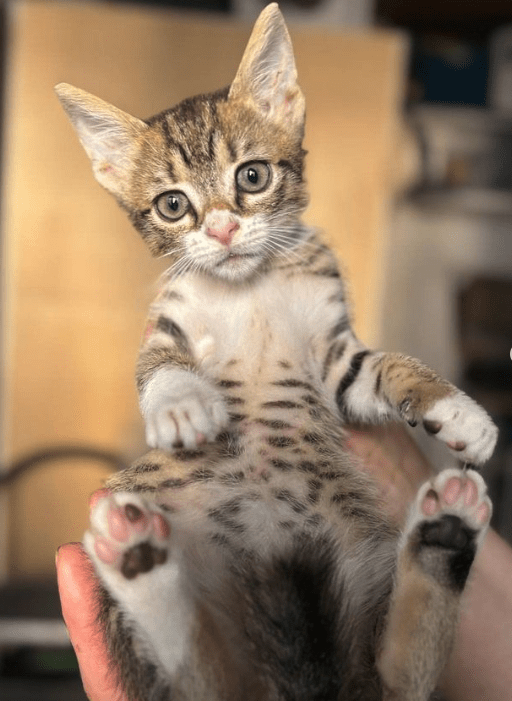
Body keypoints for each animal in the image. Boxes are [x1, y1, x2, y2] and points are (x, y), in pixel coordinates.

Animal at [56, 5, 496, 700]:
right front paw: (182, 405)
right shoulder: (168, 327)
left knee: (398, 678)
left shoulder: (338, 358)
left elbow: (390, 368)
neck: (252, 286)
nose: (222, 229)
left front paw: (458, 411)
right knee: (200, 676)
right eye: (173, 205)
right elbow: (159, 368)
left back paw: (444, 534)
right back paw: (138, 560)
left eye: (252, 176)